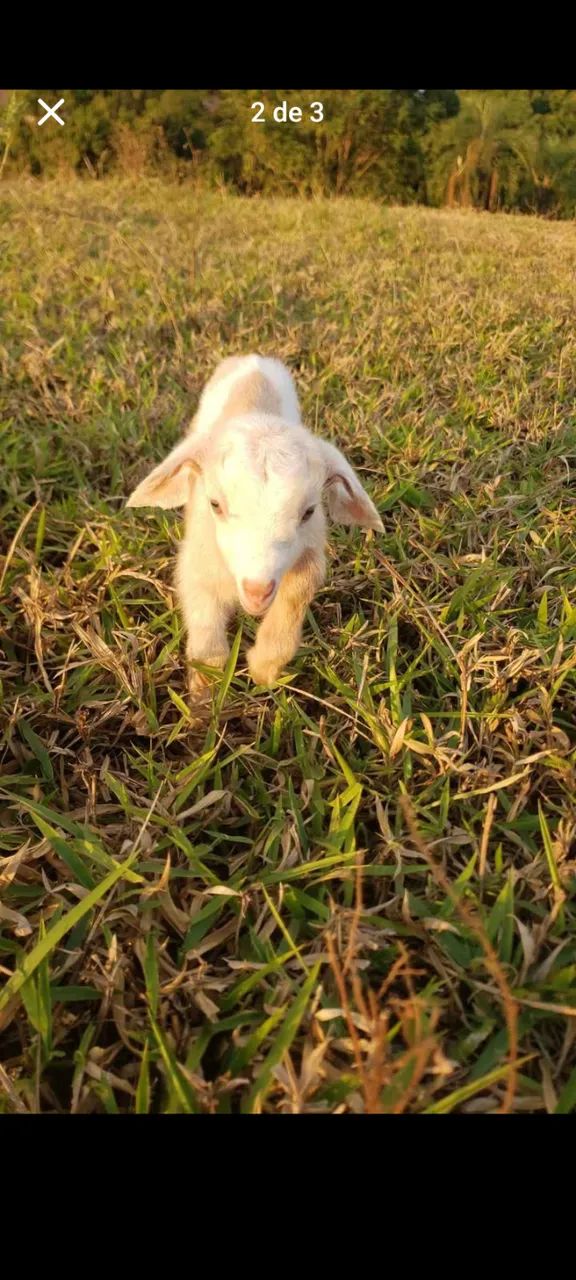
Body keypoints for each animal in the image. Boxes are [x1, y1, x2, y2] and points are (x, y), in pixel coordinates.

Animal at [126, 355, 382, 692]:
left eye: (309, 511)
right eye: (215, 505)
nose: (257, 591)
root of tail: (253, 359)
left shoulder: (309, 553)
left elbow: (296, 596)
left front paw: (264, 669)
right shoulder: (197, 562)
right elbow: (207, 640)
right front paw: (203, 696)